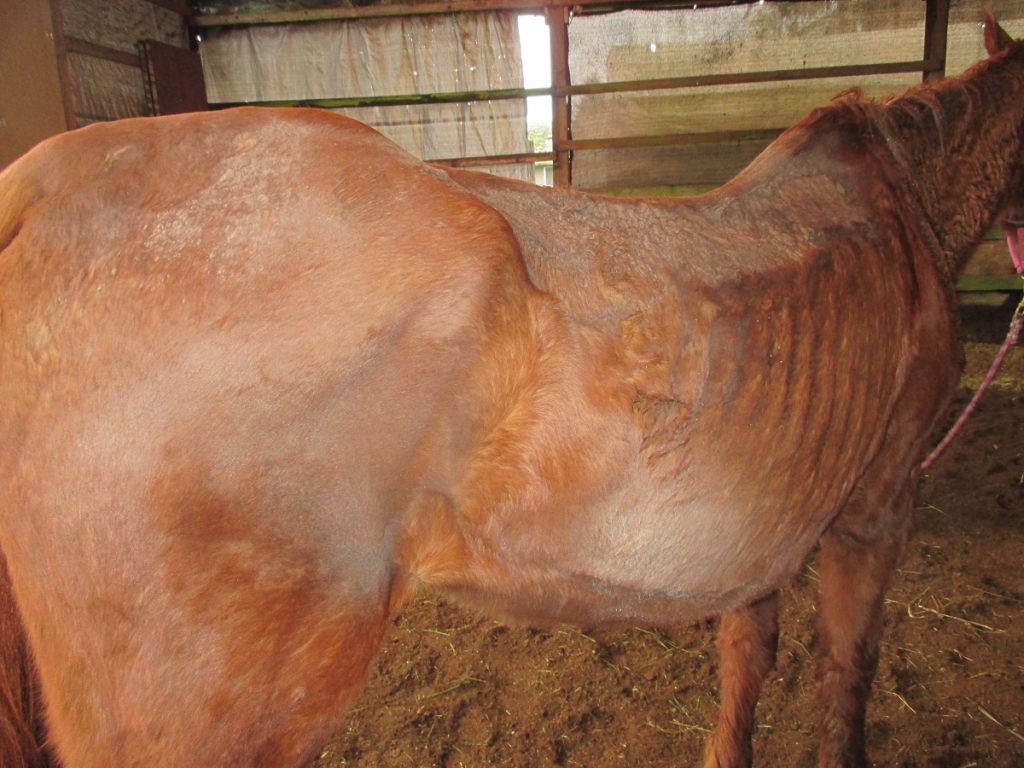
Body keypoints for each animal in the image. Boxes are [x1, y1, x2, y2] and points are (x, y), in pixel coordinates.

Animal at [2, 12, 1024, 768]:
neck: (900, 205)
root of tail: (51, 179)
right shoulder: (876, 511)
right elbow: (845, 669)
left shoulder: (763, 530)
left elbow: (748, 657)